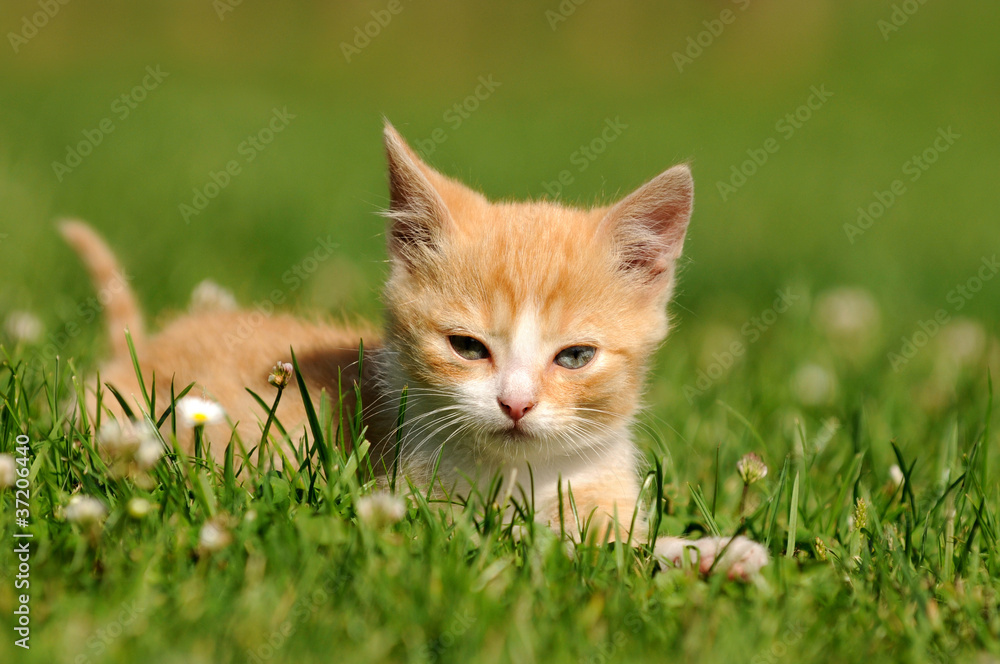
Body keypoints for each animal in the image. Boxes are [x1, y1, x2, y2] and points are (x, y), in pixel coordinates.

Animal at [62, 122, 764, 580]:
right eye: (466, 346)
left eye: (574, 358)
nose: (516, 404)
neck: (522, 474)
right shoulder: (413, 501)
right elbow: (515, 540)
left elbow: (619, 538)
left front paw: (705, 552)